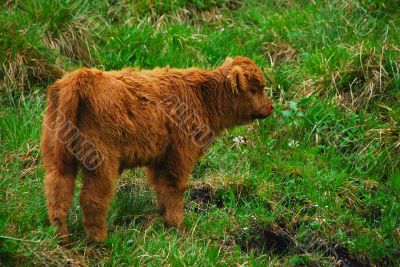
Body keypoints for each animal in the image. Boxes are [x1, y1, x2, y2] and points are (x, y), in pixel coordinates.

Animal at [40, 56, 274, 243]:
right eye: (256, 89)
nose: (270, 107)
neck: (203, 98)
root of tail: (81, 78)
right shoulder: (179, 157)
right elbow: (174, 190)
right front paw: (179, 228)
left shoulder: (159, 160)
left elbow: (162, 191)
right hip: (101, 160)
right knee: (92, 197)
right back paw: (100, 240)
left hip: (57, 156)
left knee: (57, 190)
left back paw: (62, 237)